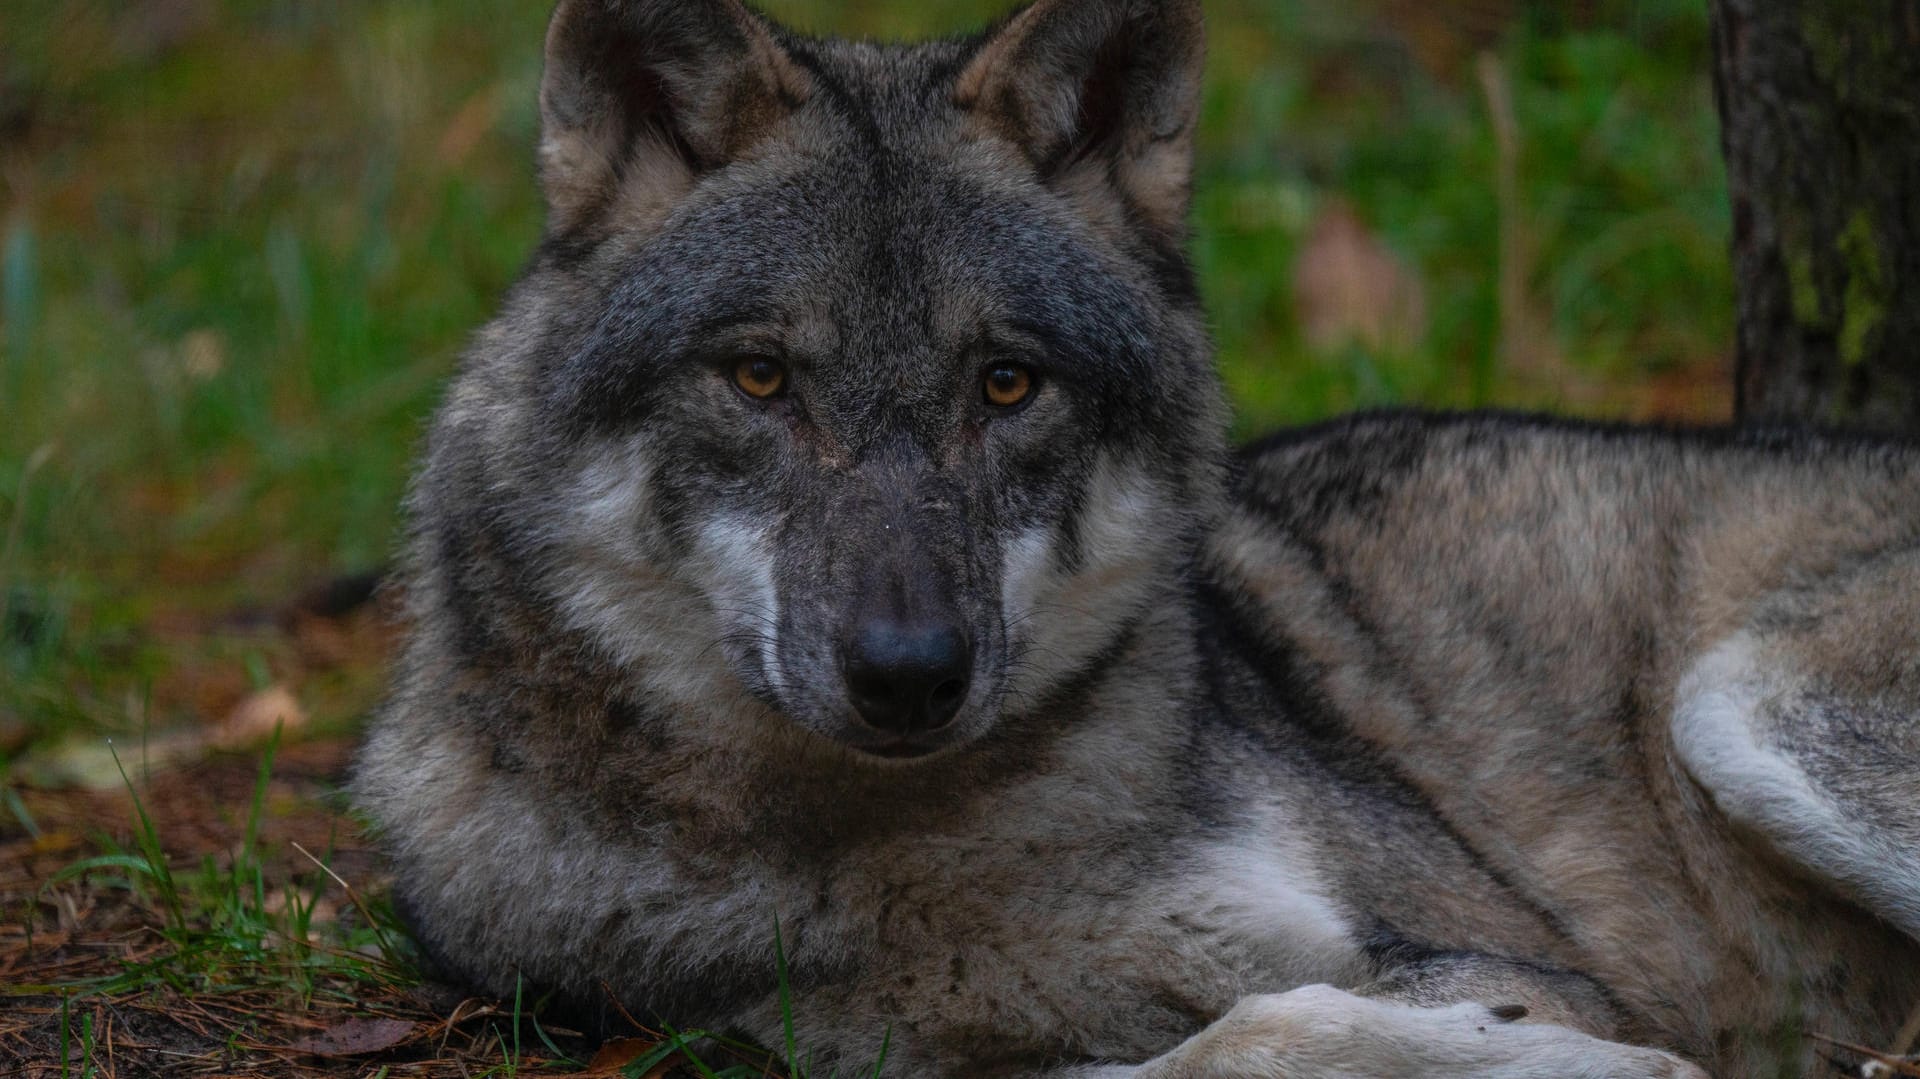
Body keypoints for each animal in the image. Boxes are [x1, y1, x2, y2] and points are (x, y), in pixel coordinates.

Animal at [349, 0, 1920, 1067]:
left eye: (1007, 383)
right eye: (759, 378)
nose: (910, 672)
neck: (904, 851)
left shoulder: (1483, 946)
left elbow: (1279, 1020)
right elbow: (1226, 1039)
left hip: (1744, 705)